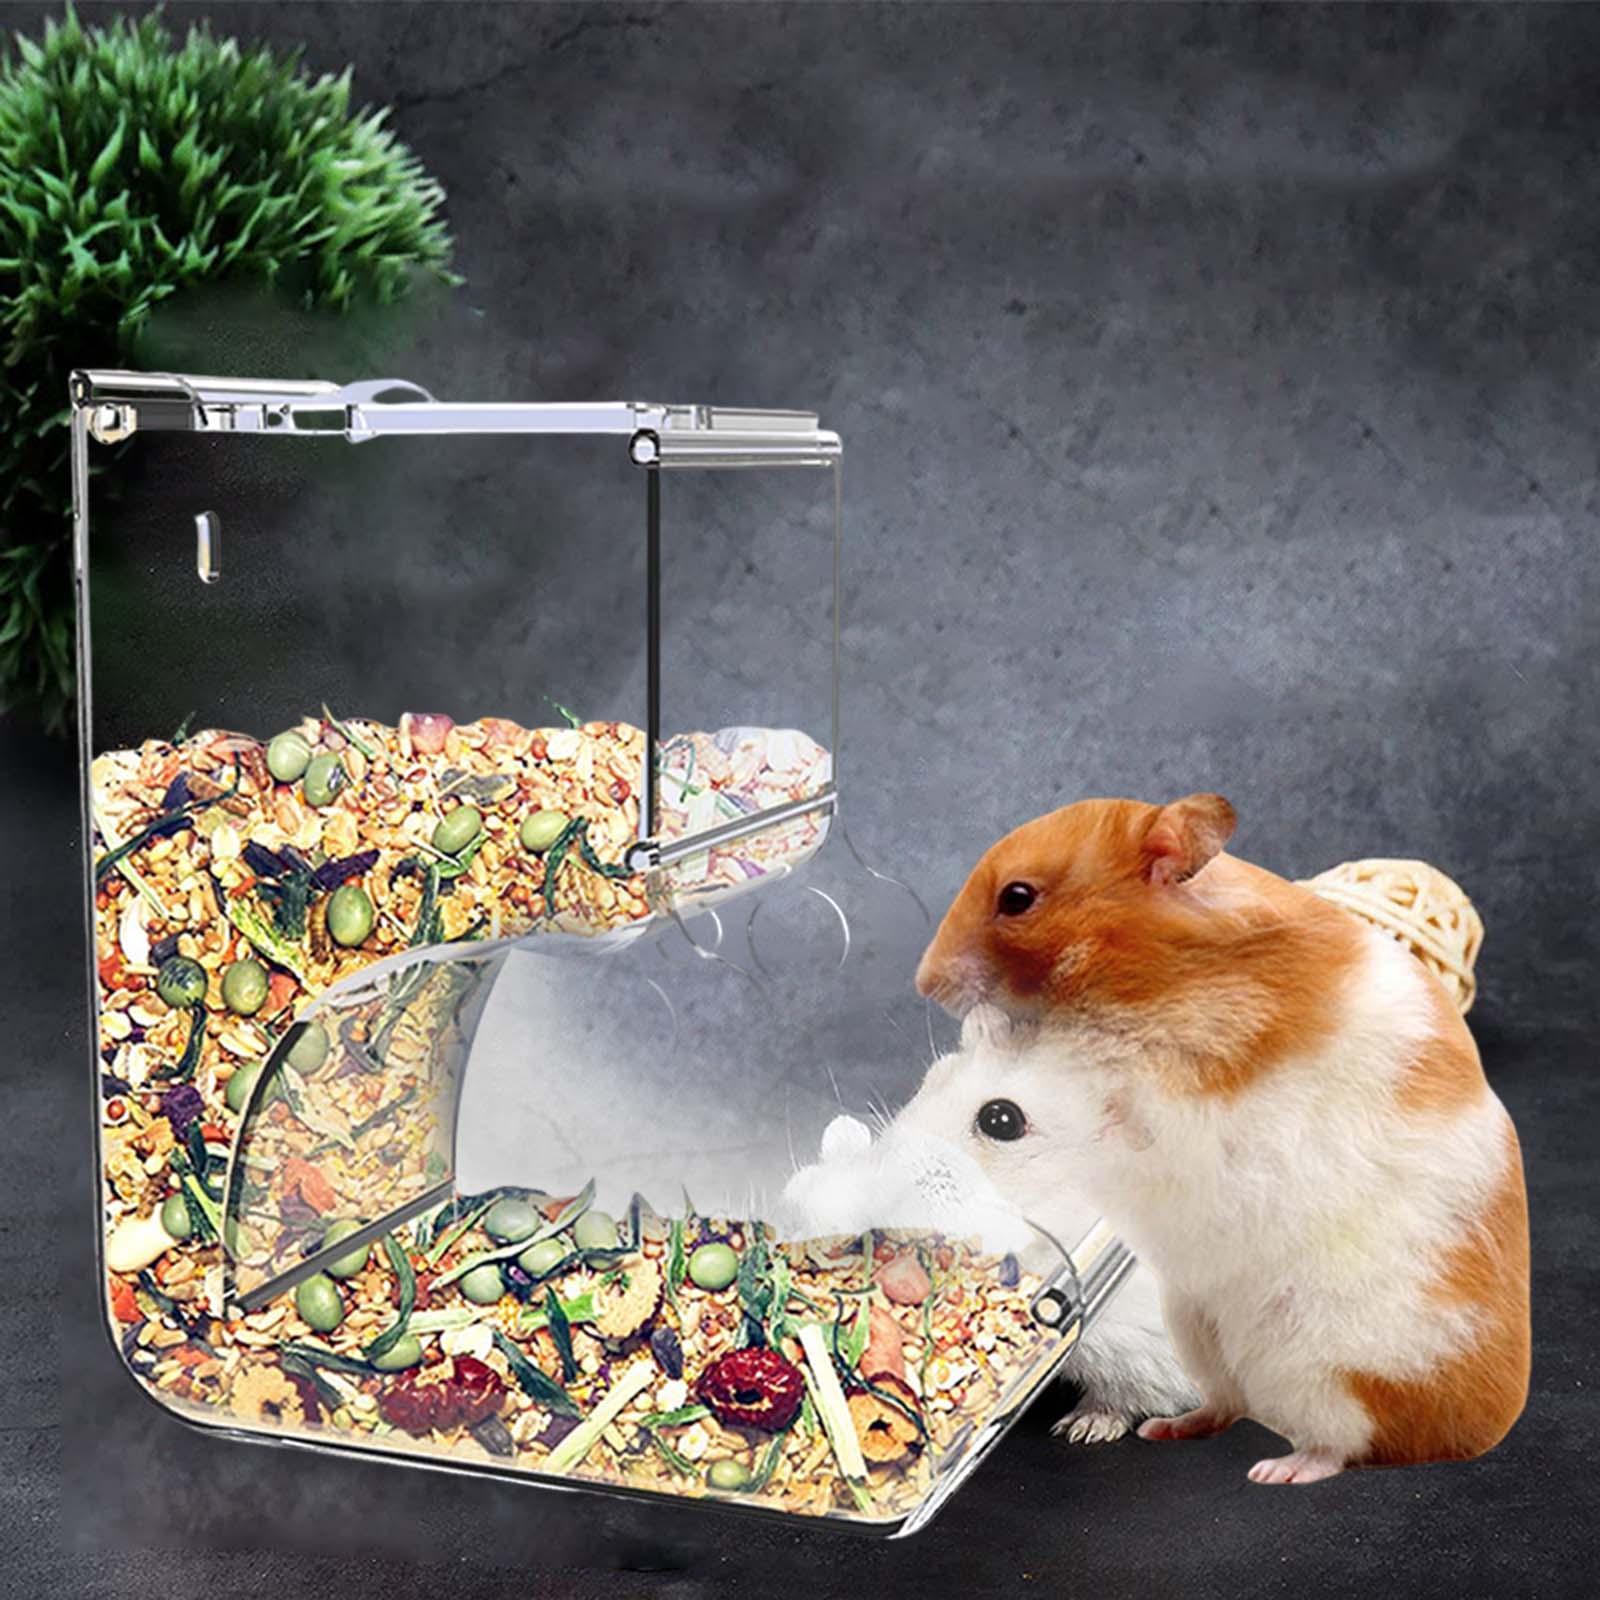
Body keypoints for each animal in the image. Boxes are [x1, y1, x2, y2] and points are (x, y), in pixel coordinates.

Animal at [914, 793, 1530, 1485]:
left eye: (1017, 898)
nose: (923, 982)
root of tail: (1475, 1426)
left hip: (1323, 1359)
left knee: (1341, 1437)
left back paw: (1281, 1467)